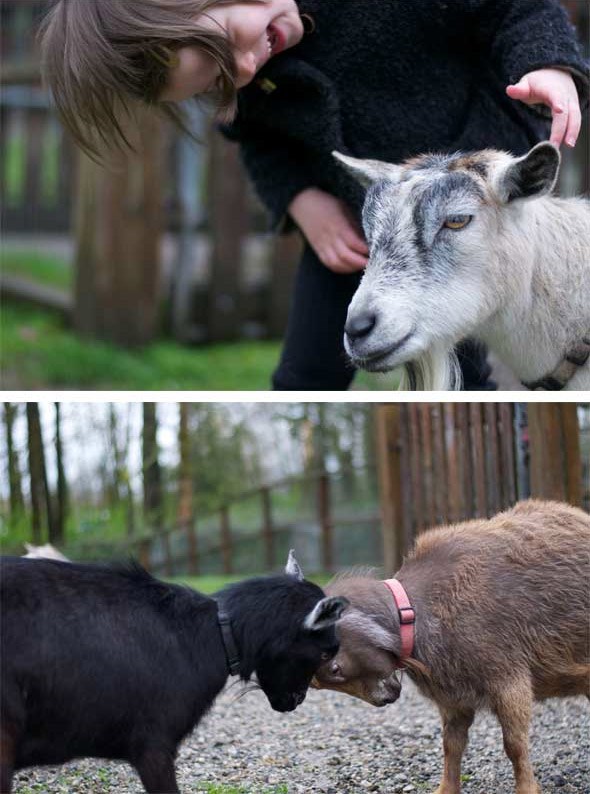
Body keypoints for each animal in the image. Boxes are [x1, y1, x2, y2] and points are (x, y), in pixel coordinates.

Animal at [316, 502, 588, 792]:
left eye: (334, 668)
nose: (384, 699)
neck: (416, 611)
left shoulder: (509, 679)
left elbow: (514, 744)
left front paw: (527, 788)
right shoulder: (453, 699)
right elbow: (451, 746)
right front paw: (445, 788)